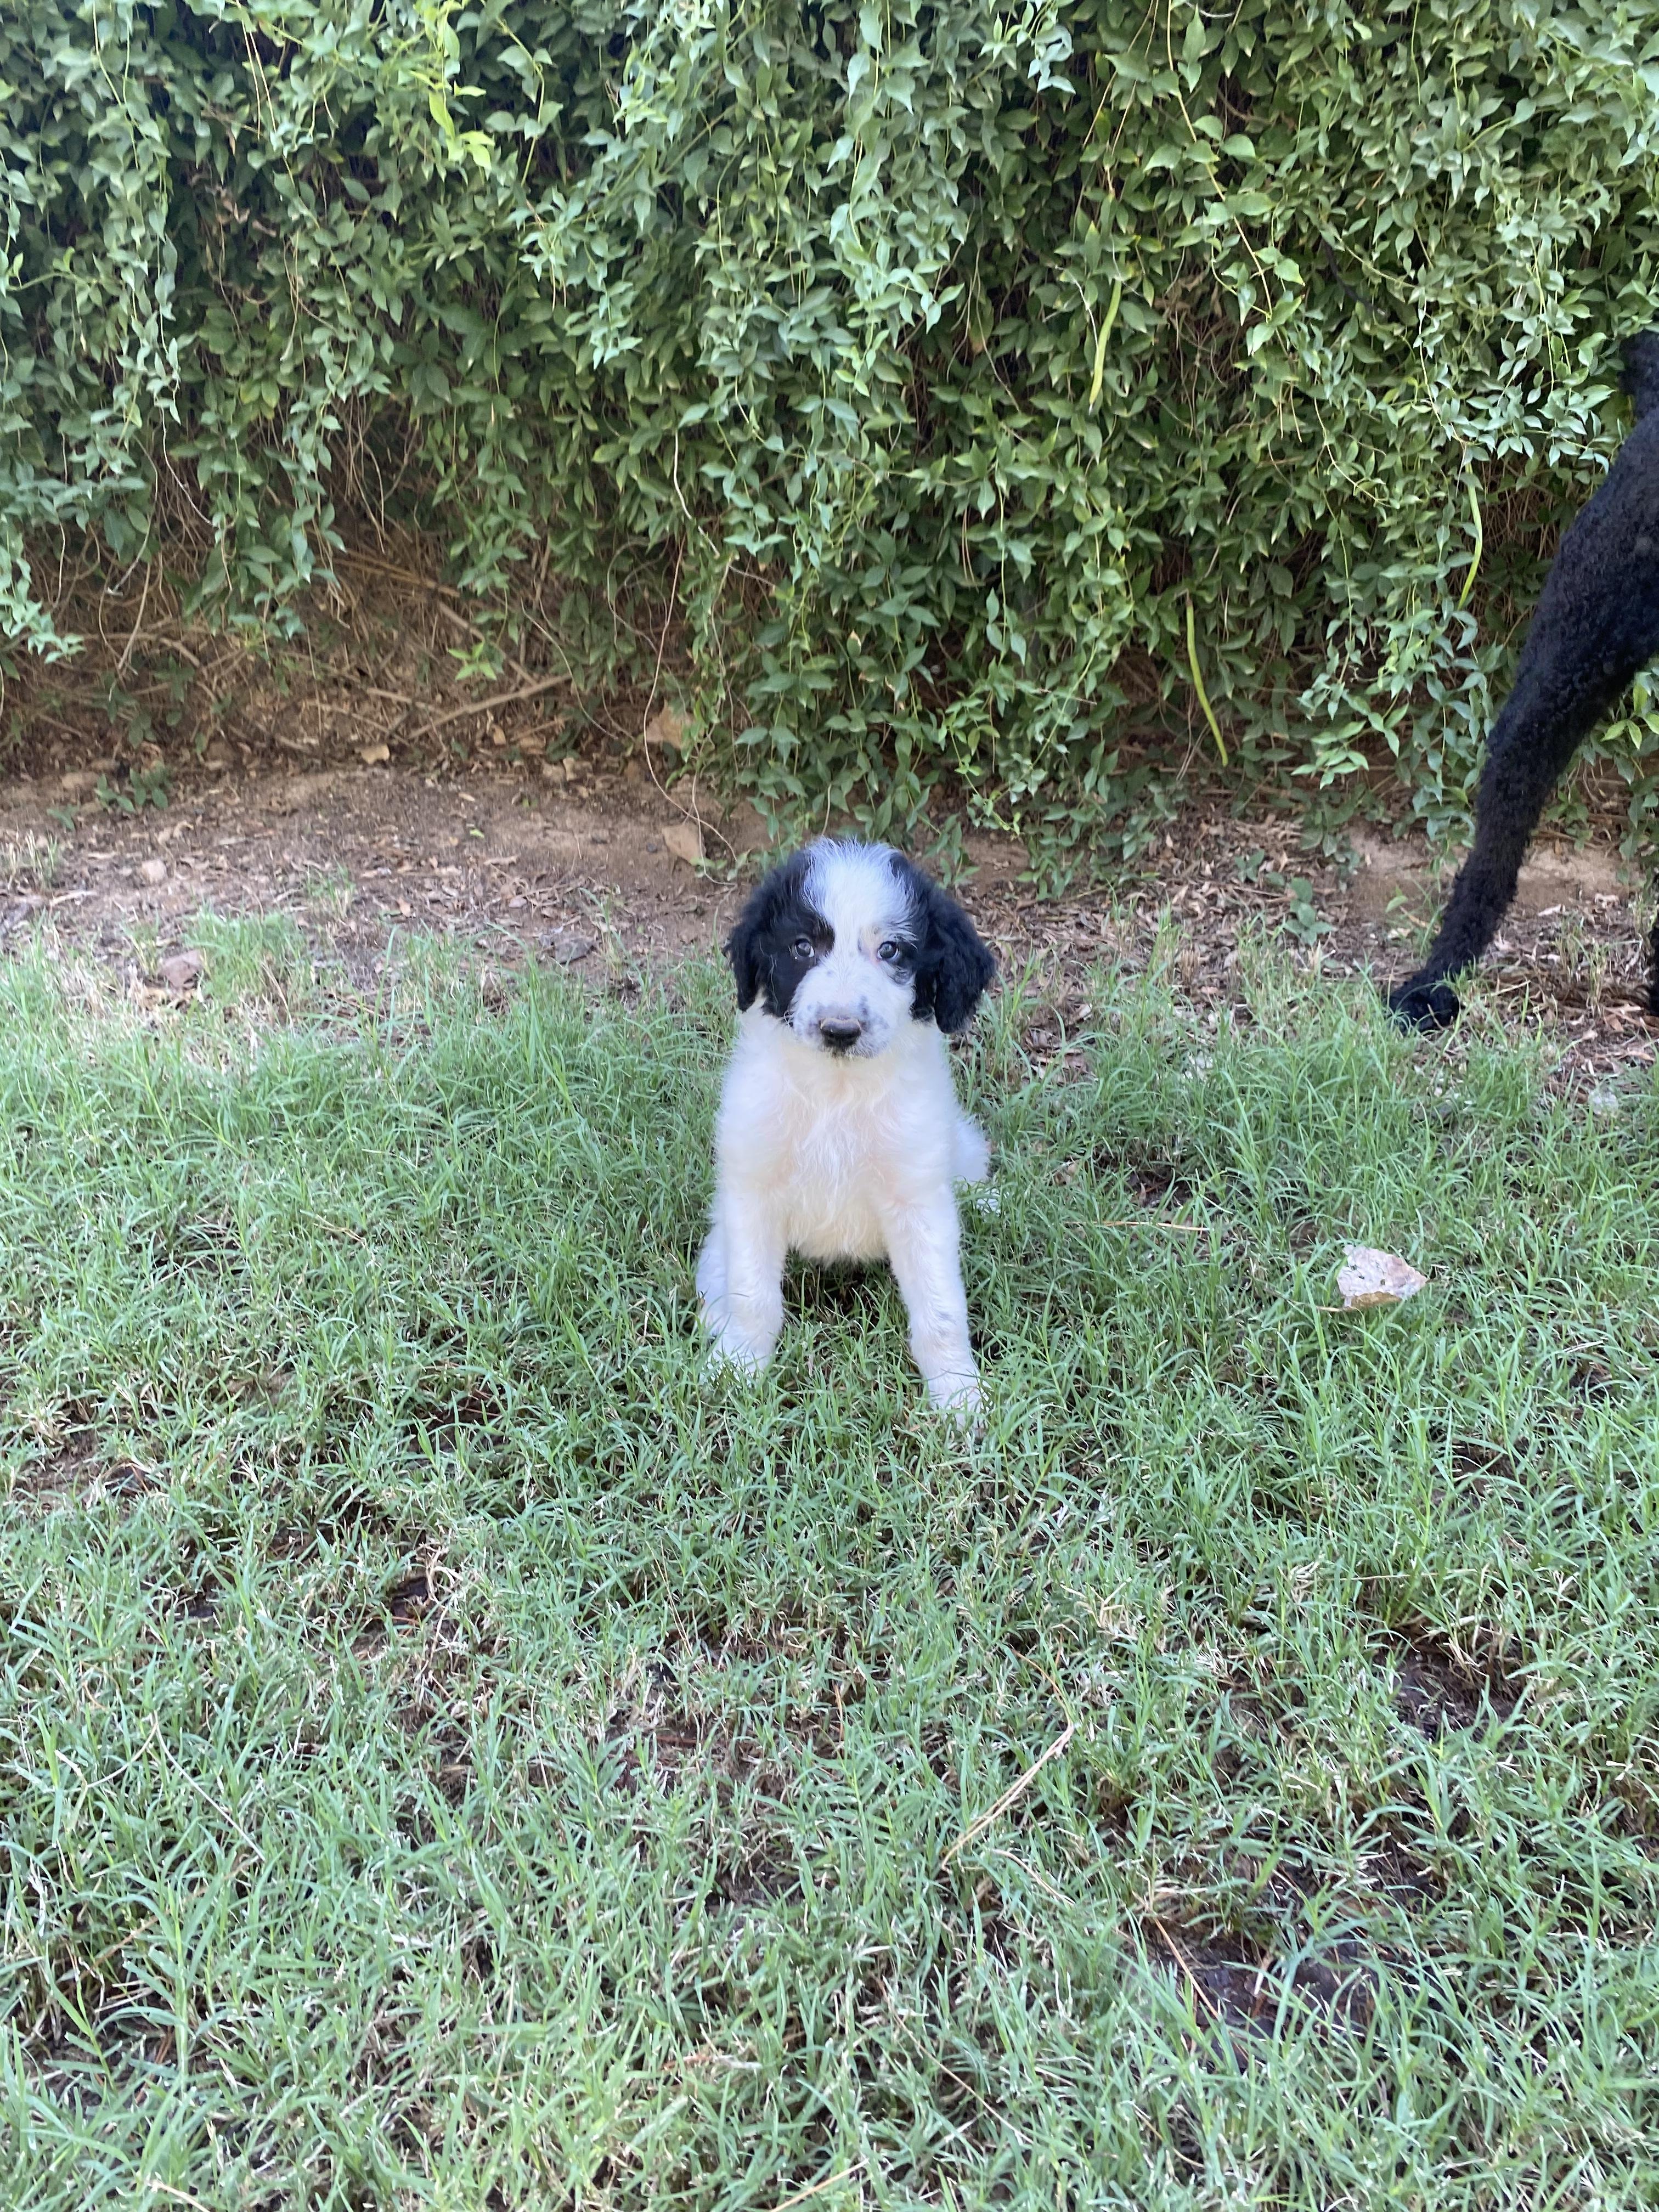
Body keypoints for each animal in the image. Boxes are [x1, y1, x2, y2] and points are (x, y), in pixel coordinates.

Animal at [697, 838, 997, 1416]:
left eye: (892, 951)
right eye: (801, 948)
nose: (840, 1030)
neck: (836, 1095)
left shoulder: (919, 1197)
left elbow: (941, 1312)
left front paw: (958, 1394)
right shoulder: (752, 1186)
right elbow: (753, 1296)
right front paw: (738, 1367)